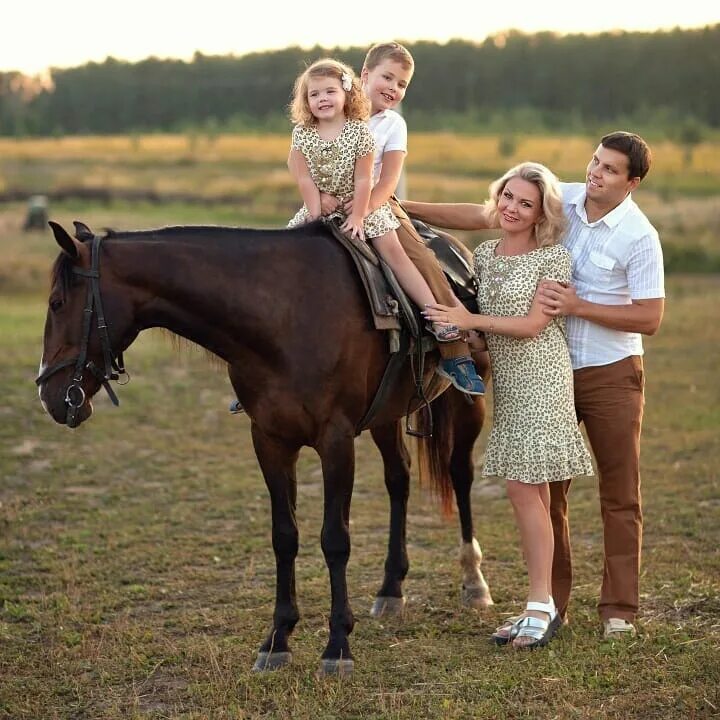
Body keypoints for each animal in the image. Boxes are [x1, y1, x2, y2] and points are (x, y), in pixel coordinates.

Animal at [36, 219, 492, 676]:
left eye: (57, 303)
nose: (48, 395)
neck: (283, 315)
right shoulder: (269, 440)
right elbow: (284, 536)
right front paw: (278, 639)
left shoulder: (336, 440)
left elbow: (335, 539)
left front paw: (337, 645)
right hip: (385, 415)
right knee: (398, 479)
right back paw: (391, 588)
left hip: (468, 404)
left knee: (460, 475)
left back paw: (474, 582)